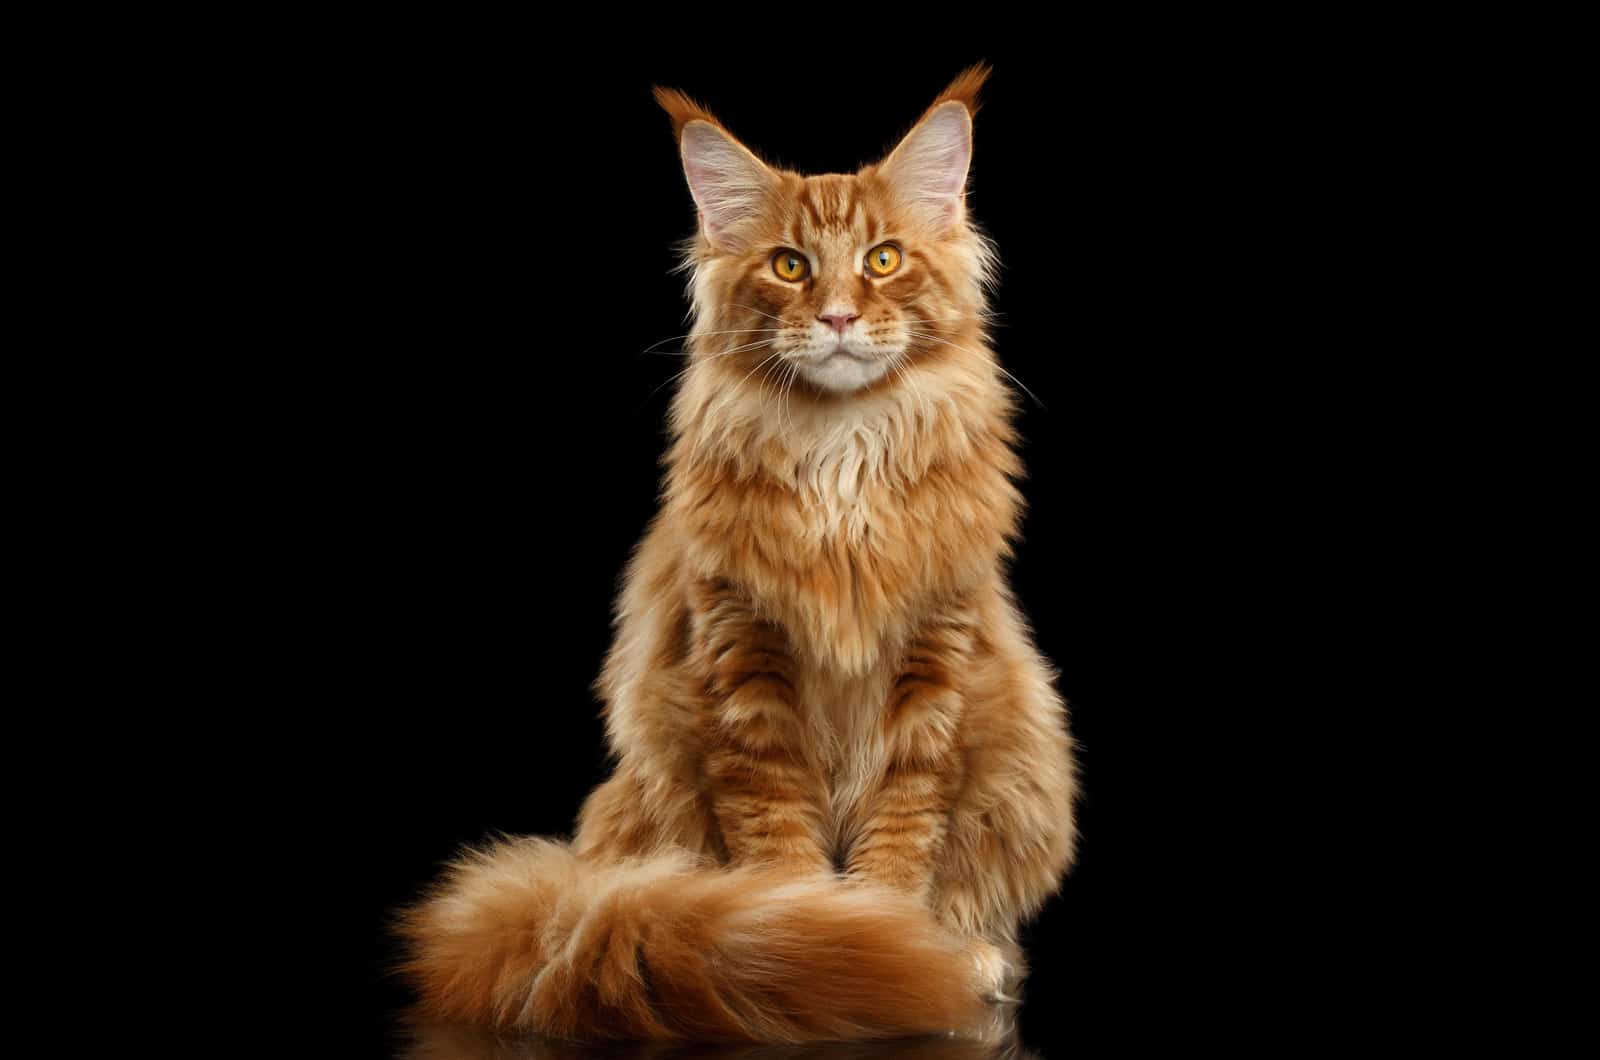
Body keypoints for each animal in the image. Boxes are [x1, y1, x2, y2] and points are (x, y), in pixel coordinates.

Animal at [396, 66, 1075, 1043]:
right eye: (790, 266)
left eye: (882, 260)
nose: (837, 316)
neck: (842, 454)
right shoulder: (742, 661)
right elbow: (777, 842)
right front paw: (828, 941)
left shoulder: (933, 666)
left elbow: (904, 834)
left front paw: (904, 939)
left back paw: (977, 952)